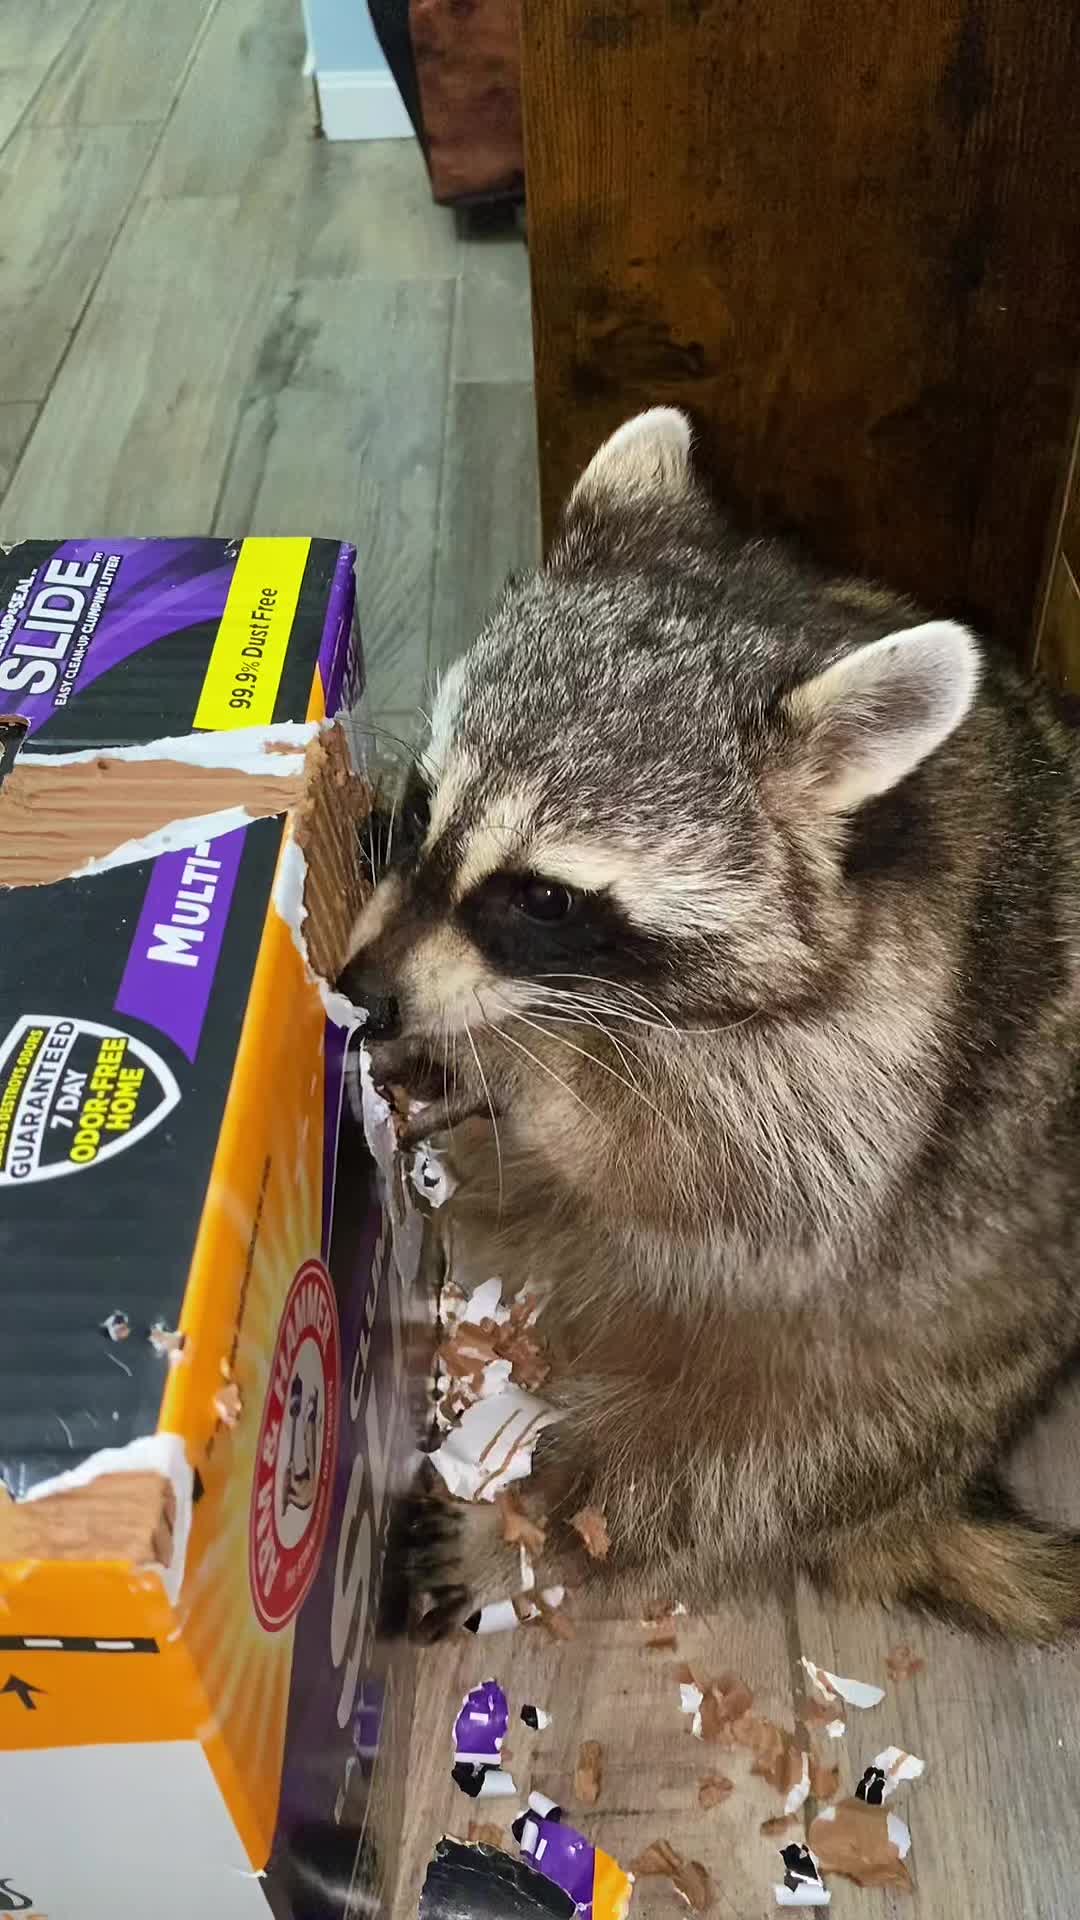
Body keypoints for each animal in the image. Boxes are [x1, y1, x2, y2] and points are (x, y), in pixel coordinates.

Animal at [342, 409, 1080, 1641]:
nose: (363, 992)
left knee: (706, 1475)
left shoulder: (893, 1055)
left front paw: (519, 1059)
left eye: (542, 898)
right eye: (422, 804)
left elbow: (725, 1183)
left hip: (898, 1376)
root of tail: (931, 1489)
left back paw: (529, 1527)